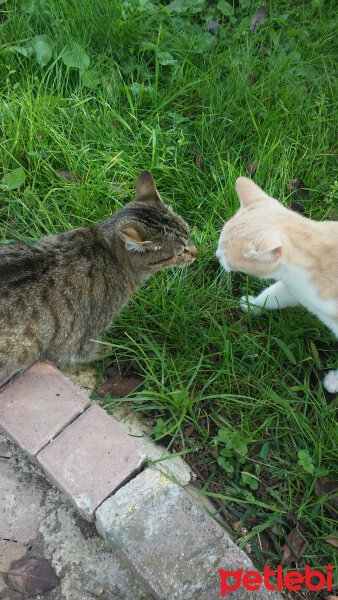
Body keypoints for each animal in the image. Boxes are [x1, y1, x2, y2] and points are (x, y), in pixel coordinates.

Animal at [0, 170, 197, 384]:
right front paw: (109, 348)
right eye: (180, 252)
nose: (196, 252)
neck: (105, 248)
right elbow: (90, 351)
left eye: (188, 233)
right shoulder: (80, 341)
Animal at [217, 177, 338, 394]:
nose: (216, 256)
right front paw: (252, 305)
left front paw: (334, 381)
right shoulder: (295, 288)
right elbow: (271, 296)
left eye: (225, 256)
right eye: (219, 244)